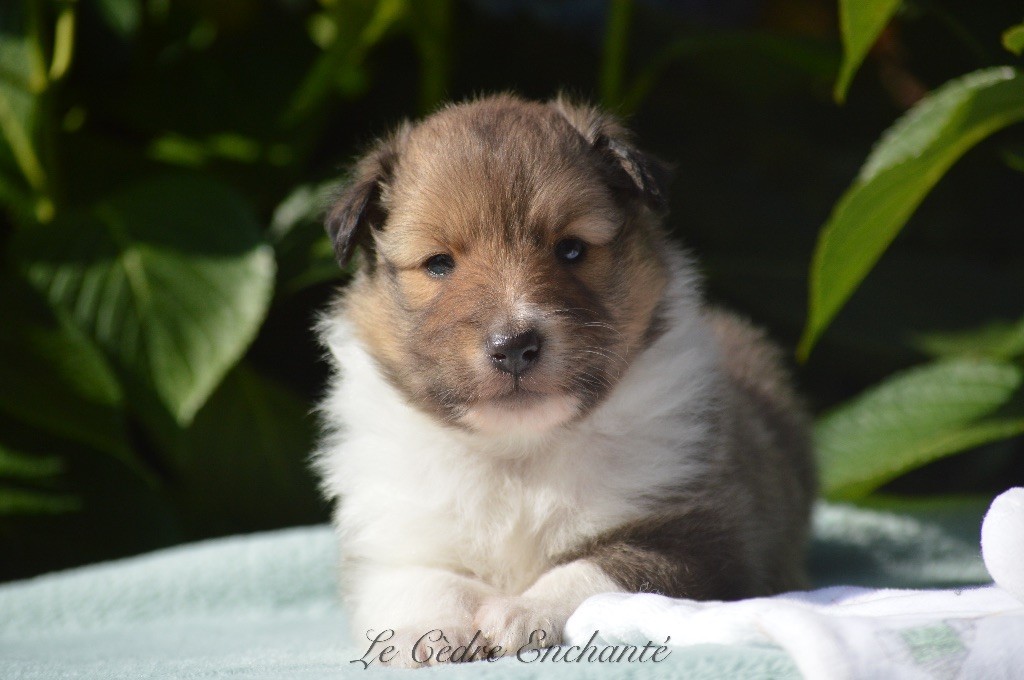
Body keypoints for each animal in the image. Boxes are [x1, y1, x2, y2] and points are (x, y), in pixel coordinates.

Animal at [311, 93, 815, 667]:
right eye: (439, 264)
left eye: (571, 249)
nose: (514, 347)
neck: (518, 453)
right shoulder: (389, 543)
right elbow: (420, 581)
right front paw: (428, 633)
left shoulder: (707, 536)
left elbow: (591, 573)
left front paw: (519, 613)